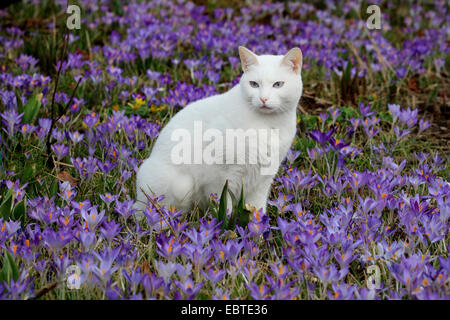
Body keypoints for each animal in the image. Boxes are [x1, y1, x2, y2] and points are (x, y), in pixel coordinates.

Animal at [134, 46, 302, 219]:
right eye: (254, 84)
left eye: (278, 84)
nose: (263, 99)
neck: (268, 124)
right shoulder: (222, 176)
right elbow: (225, 206)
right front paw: (225, 224)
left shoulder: (264, 179)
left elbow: (258, 209)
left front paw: (257, 227)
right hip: (179, 186)